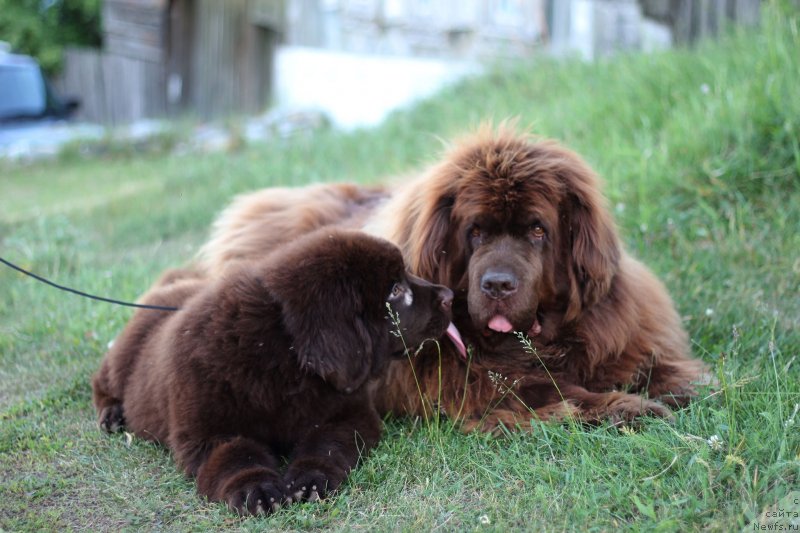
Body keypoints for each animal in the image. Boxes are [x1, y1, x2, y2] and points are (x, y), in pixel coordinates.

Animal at [90, 228, 454, 512]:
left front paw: (310, 479)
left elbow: (326, 442)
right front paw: (257, 490)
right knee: (101, 382)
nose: (449, 295)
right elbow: (238, 456)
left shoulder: (349, 414)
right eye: (395, 290)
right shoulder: (208, 434)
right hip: (121, 359)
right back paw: (112, 415)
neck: (284, 359)